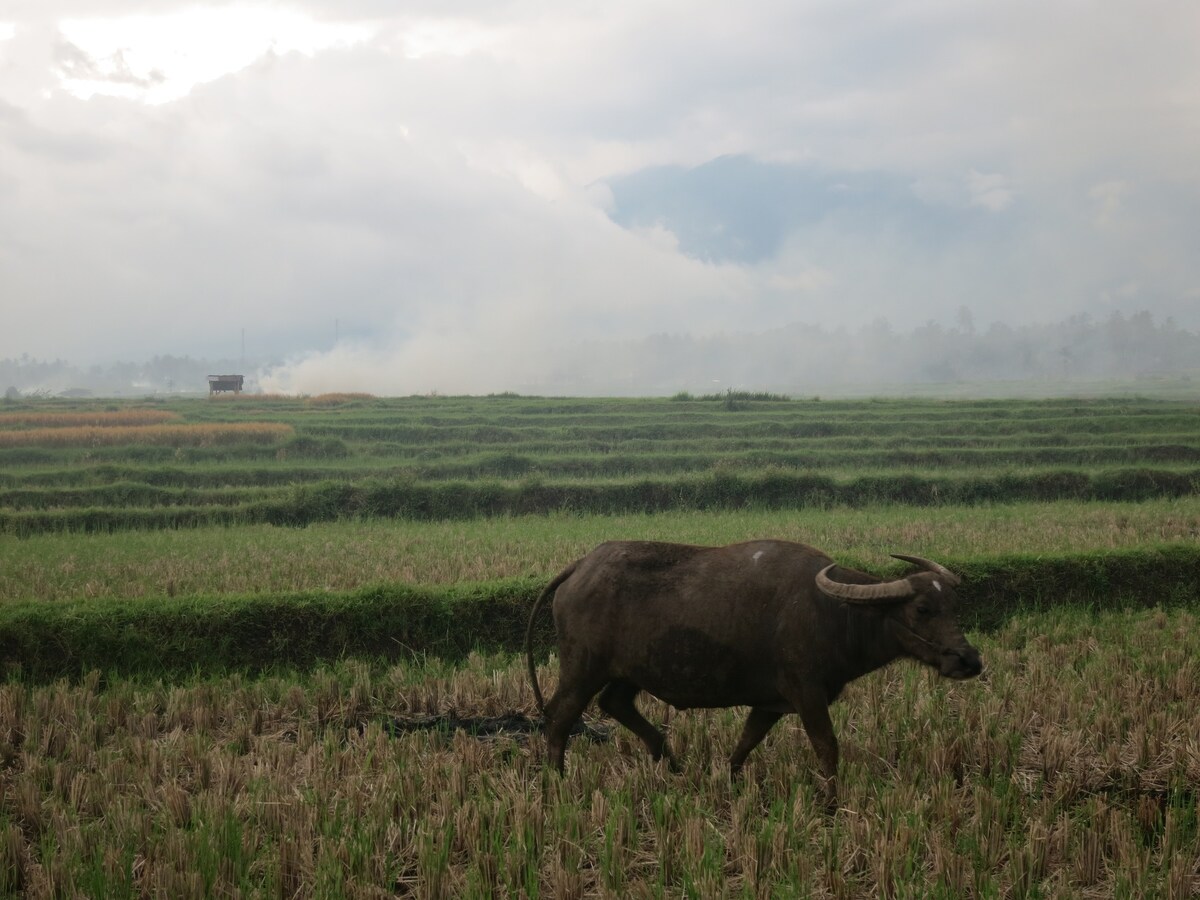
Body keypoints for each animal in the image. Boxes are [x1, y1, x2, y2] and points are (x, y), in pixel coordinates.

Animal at [525, 542, 984, 811]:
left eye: (954, 604)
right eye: (922, 609)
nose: (968, 660)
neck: (833, 612)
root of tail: (580, 567)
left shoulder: (770, 703)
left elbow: (747, 741)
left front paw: (727, 779)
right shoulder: (807, 693)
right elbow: (827, 746)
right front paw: (831, 803)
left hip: (630, 671)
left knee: (614, 703)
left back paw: (671, 763)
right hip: (582, 668)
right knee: (560, 716)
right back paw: (557, 780)